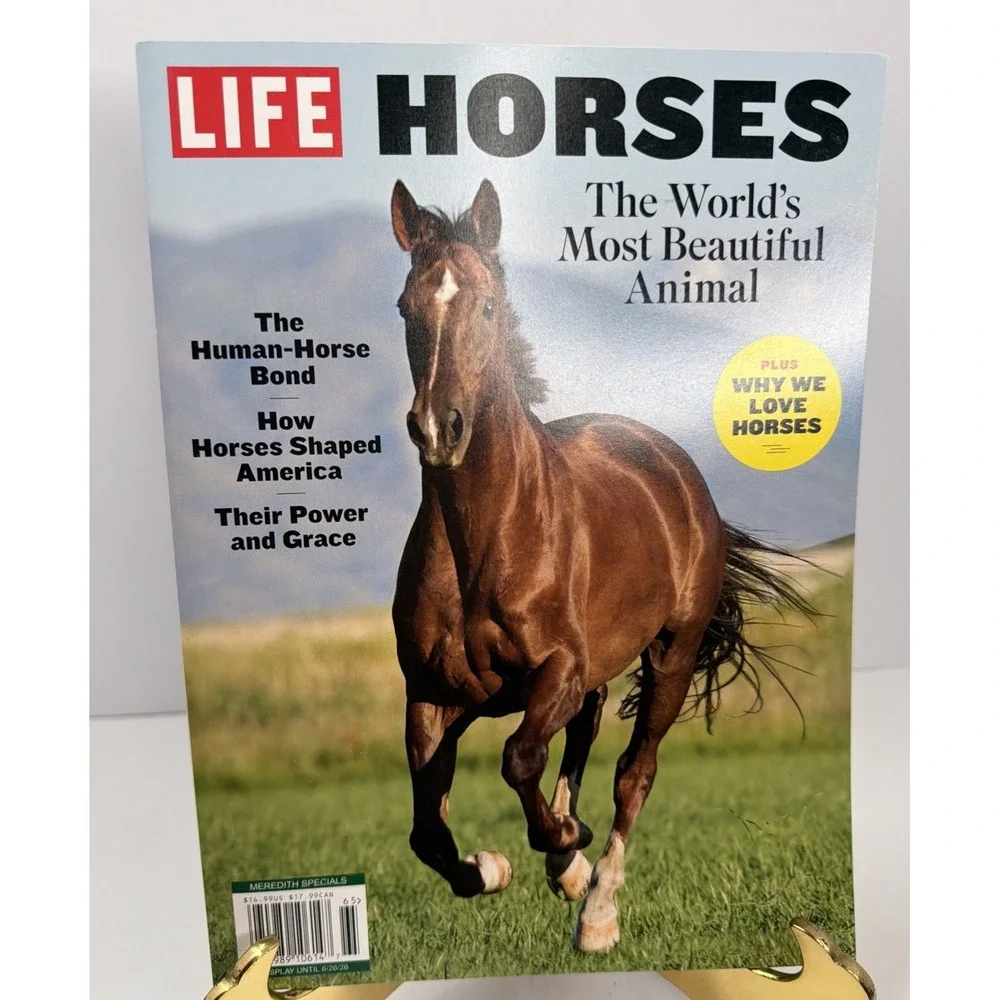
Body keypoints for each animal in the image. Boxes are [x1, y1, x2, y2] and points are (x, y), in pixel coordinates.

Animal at [388, 178, 812, 953]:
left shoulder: (555, 668)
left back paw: (596, 906)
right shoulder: (432, 695)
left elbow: (519, 760)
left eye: (487, 305)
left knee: (632, 772)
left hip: (672, 656)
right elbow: (427, 833)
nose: (439, 428)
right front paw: (497, 867)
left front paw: (567, 851)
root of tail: (674, 464)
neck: (483, 540)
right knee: (582, 734)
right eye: (406, 307)